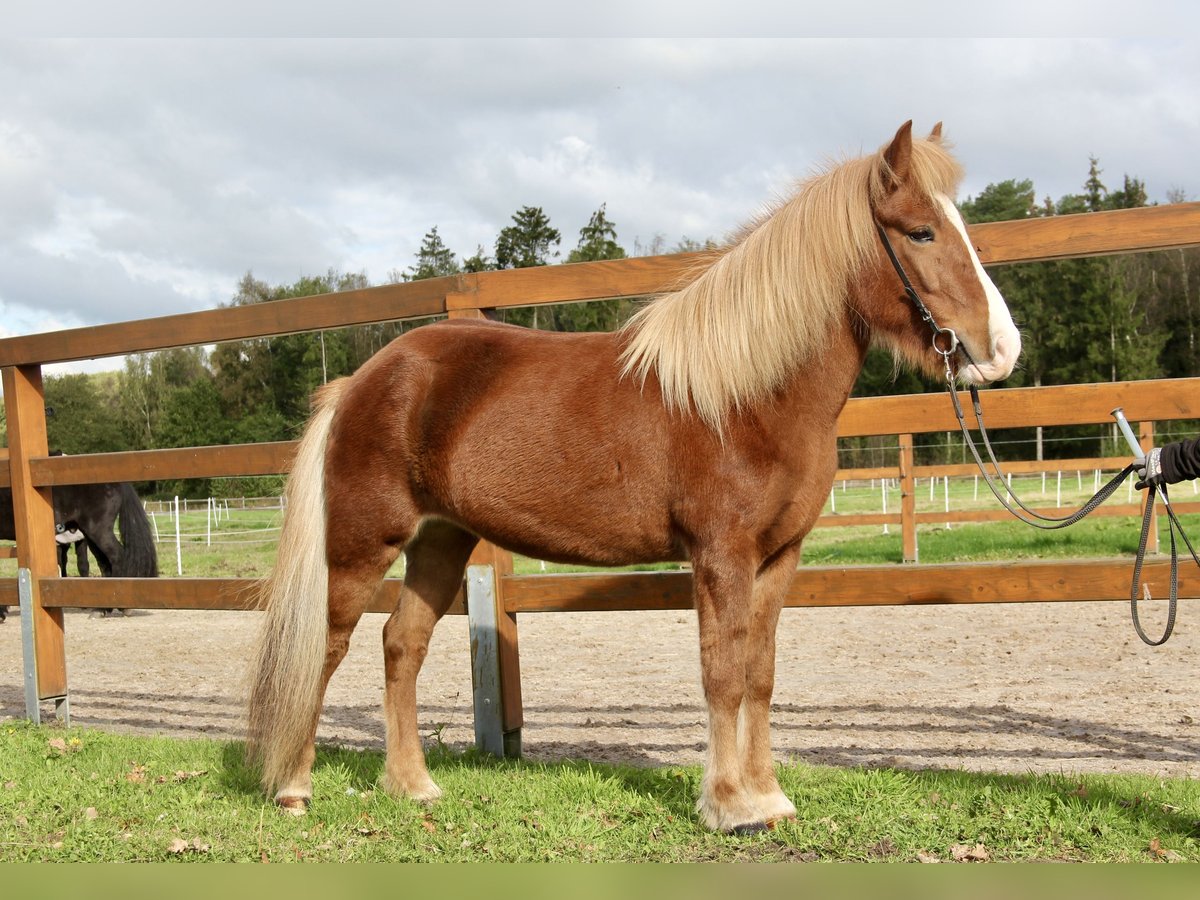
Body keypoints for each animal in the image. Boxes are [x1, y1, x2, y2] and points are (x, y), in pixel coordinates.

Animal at [246, 123, 1022, 835]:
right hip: (361, 544)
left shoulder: (778, 558)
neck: (744, 398)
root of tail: (362, 379)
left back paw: (413, 787)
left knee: (402, 645)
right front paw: (729, 805)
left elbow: (760, 674)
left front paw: (768, 797)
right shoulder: (721, 558)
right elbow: (722, 673)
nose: (1001, 349)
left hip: (441, 541)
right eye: (920, 231)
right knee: (326, 649)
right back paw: (294, 789)